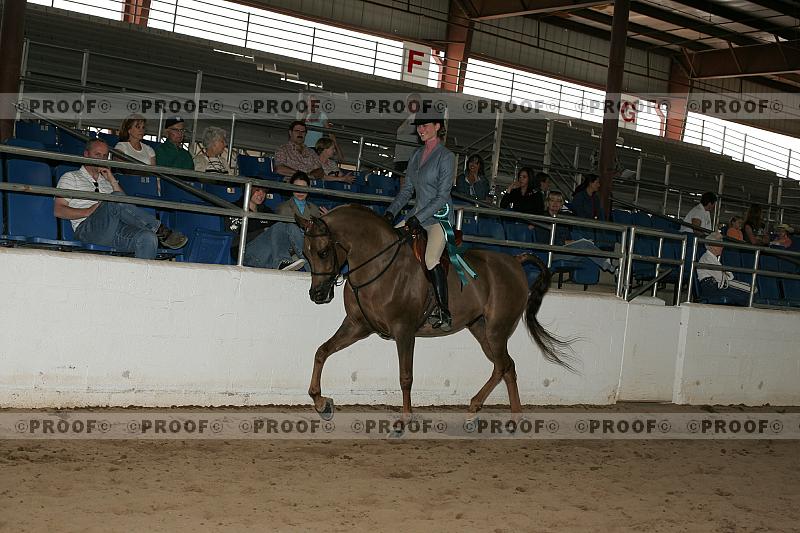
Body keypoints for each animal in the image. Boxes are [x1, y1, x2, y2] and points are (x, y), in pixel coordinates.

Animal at [294, 205, 574, 420]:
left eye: (323, 252)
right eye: (305, 253)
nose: (317, 294)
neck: (378, 264)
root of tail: (515, 261)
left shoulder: (404, 330)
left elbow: (405, 376)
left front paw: (405, 419)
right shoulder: (357, 324)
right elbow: (322, 351)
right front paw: (321, 402)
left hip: (497, 328)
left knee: (504, 365)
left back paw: (496, 413)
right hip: (480, 328)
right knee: (504, 367)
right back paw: (496, 414)